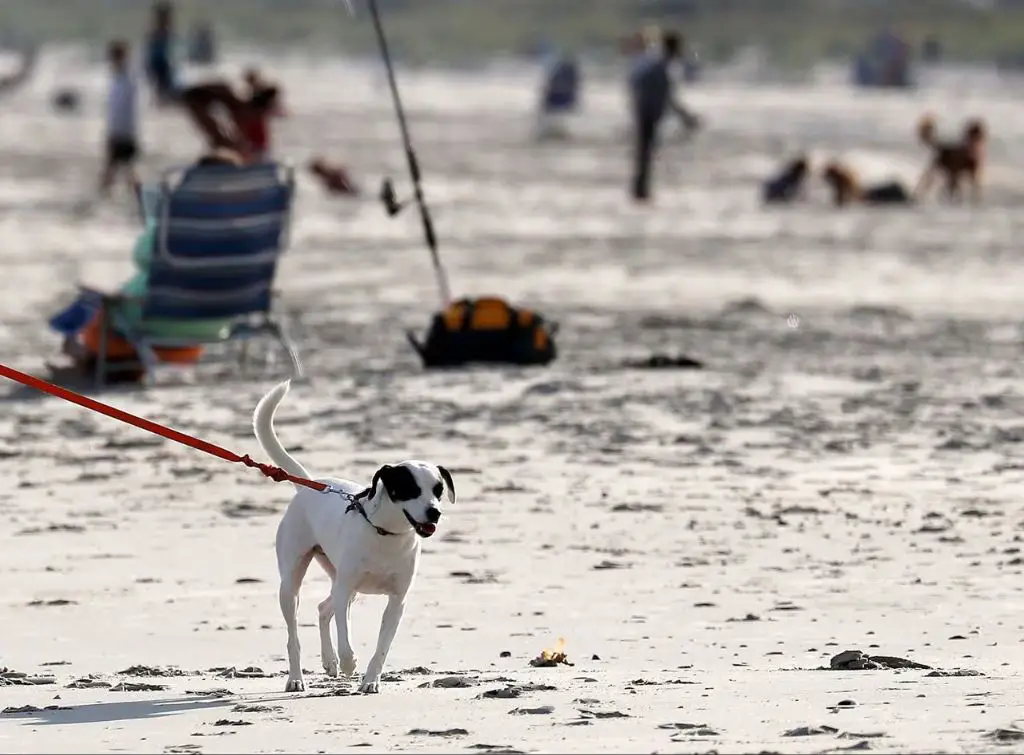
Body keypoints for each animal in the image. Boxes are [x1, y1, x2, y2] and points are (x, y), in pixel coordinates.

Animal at [252, 379, 456, 692]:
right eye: (409, 488)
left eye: (438, 490)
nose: (434, 512)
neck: (386, 533)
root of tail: (309, 485)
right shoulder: (346, 588)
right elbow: (344, 637)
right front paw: (349, 664)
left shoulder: (396, 601)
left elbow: (382, 647)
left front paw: (370, 680)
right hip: (293, 584)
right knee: (294, 634)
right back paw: (297, 678)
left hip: (341, 581)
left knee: (324, 608)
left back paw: (329, 662)